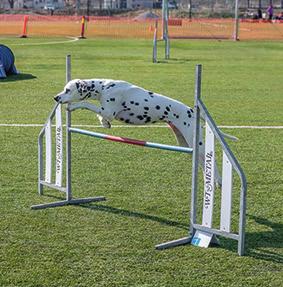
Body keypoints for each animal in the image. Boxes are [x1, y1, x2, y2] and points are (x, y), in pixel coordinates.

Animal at [54, 79, 234, 187]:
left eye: (68, 90)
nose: (56, 97)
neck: (104, 87)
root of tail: (192, 110)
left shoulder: (108, 111)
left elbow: (86, 104)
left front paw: (73, 106)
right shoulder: (106, 111)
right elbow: (100, 116)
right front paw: (104, 123)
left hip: (196, 142)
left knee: (212, 160)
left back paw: (218, 181)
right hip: (186, 144)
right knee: (202, 162)